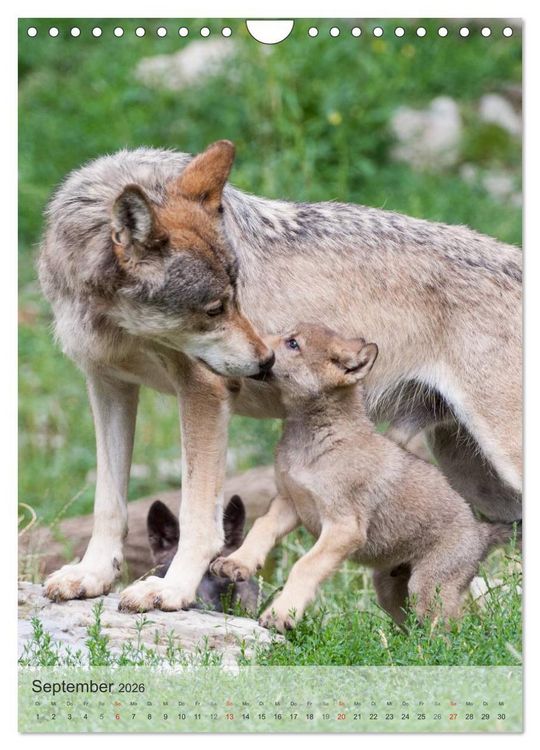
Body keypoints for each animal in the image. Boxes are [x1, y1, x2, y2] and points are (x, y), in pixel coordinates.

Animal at [211, 324, 515, 632]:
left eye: (293, 343)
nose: (253, 345)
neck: (317, 441)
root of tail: (481, 532)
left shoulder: (343, 527)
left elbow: (305, 565)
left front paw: (280, 614)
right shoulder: (289, 503)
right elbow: (261, 529)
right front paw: (237, 563)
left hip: (428, 591)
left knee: (454, 631)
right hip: (389, 591)